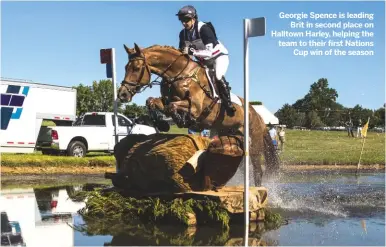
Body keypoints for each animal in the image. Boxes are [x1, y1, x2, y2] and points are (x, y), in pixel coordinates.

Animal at [116, 43, 278, 185]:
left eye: (136, 68)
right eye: (125, 67)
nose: (123, 94)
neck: (179, 74)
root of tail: (258, 116)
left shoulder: (195, 108)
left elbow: (172, 106)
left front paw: (182, 120)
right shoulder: (166, 100)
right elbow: (151, 101)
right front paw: (162, 124)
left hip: (254, 144)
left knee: (258, 170)